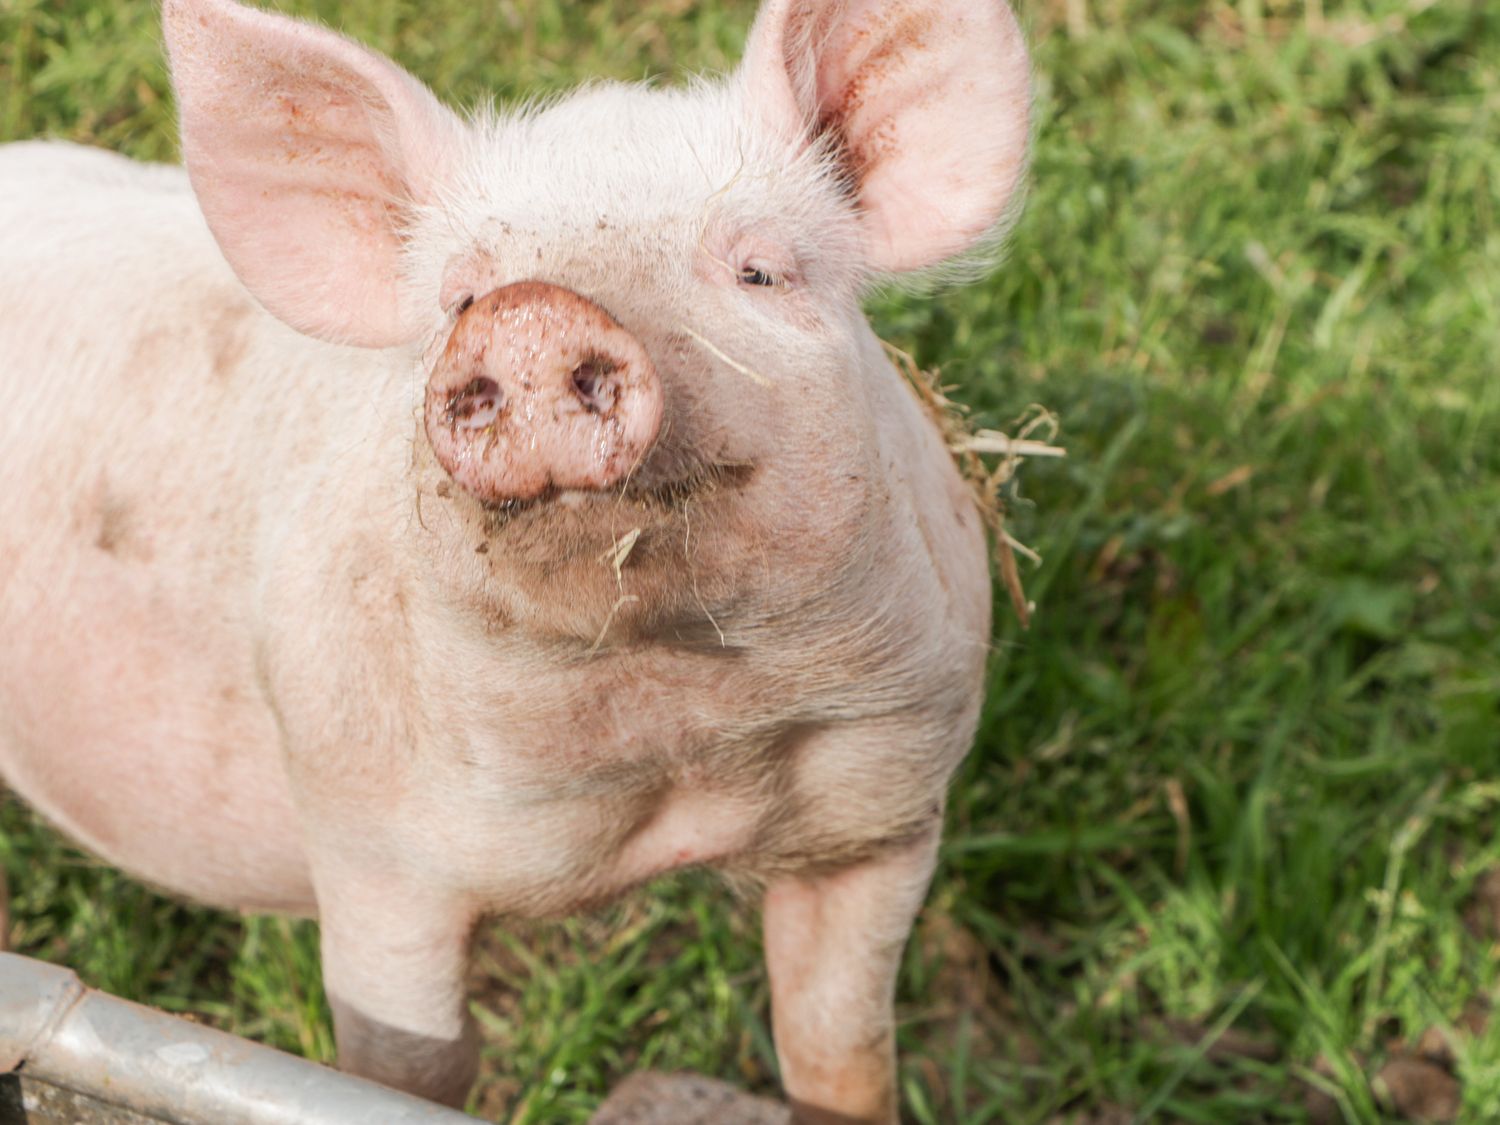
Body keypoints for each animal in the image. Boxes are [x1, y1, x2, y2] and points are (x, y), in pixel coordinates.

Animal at [0, 0, 1032, 1122]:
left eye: (760, 269)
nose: (534, 312)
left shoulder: (890, 802)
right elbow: (410, 1069)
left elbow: (838, 1046)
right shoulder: (371, 852)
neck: (679, 744)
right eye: (461, 299)